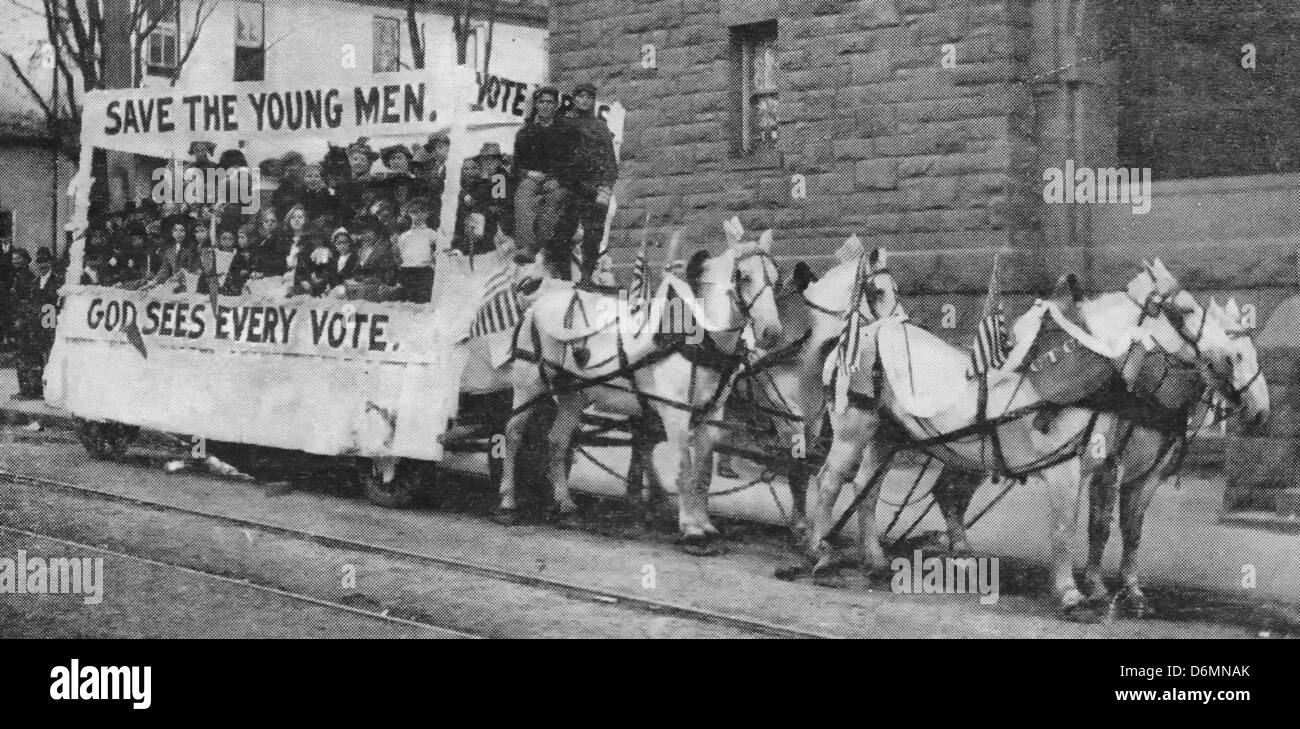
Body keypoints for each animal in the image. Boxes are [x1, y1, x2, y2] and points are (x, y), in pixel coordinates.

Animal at [496, 227, 780, 550]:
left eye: (777, 277)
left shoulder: (712, 414)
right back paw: (508, 500)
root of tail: (539, 300)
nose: (773, 333)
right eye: (743, 276)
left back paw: (565, 503)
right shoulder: (675, 412)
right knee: (513, 433)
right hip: (529, 383)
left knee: (557, 440)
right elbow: (684, 469)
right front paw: (690, 528)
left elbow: (703, 472)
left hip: (574, 394)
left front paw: (704, 523)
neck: (697, 338)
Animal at [806, 258, 1263, 610]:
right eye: (1183, 311)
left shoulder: (1107, 467)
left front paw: (1113, 591)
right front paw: (1070, 593)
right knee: (829, 482)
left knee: (868, 488)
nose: (1259, 411)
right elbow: (1066, 528)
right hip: (853, 431)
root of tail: (862, 332)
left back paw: (875, 559)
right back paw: (819, 552)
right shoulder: (1070, 469)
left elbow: (1112, 528)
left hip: (886, 433)